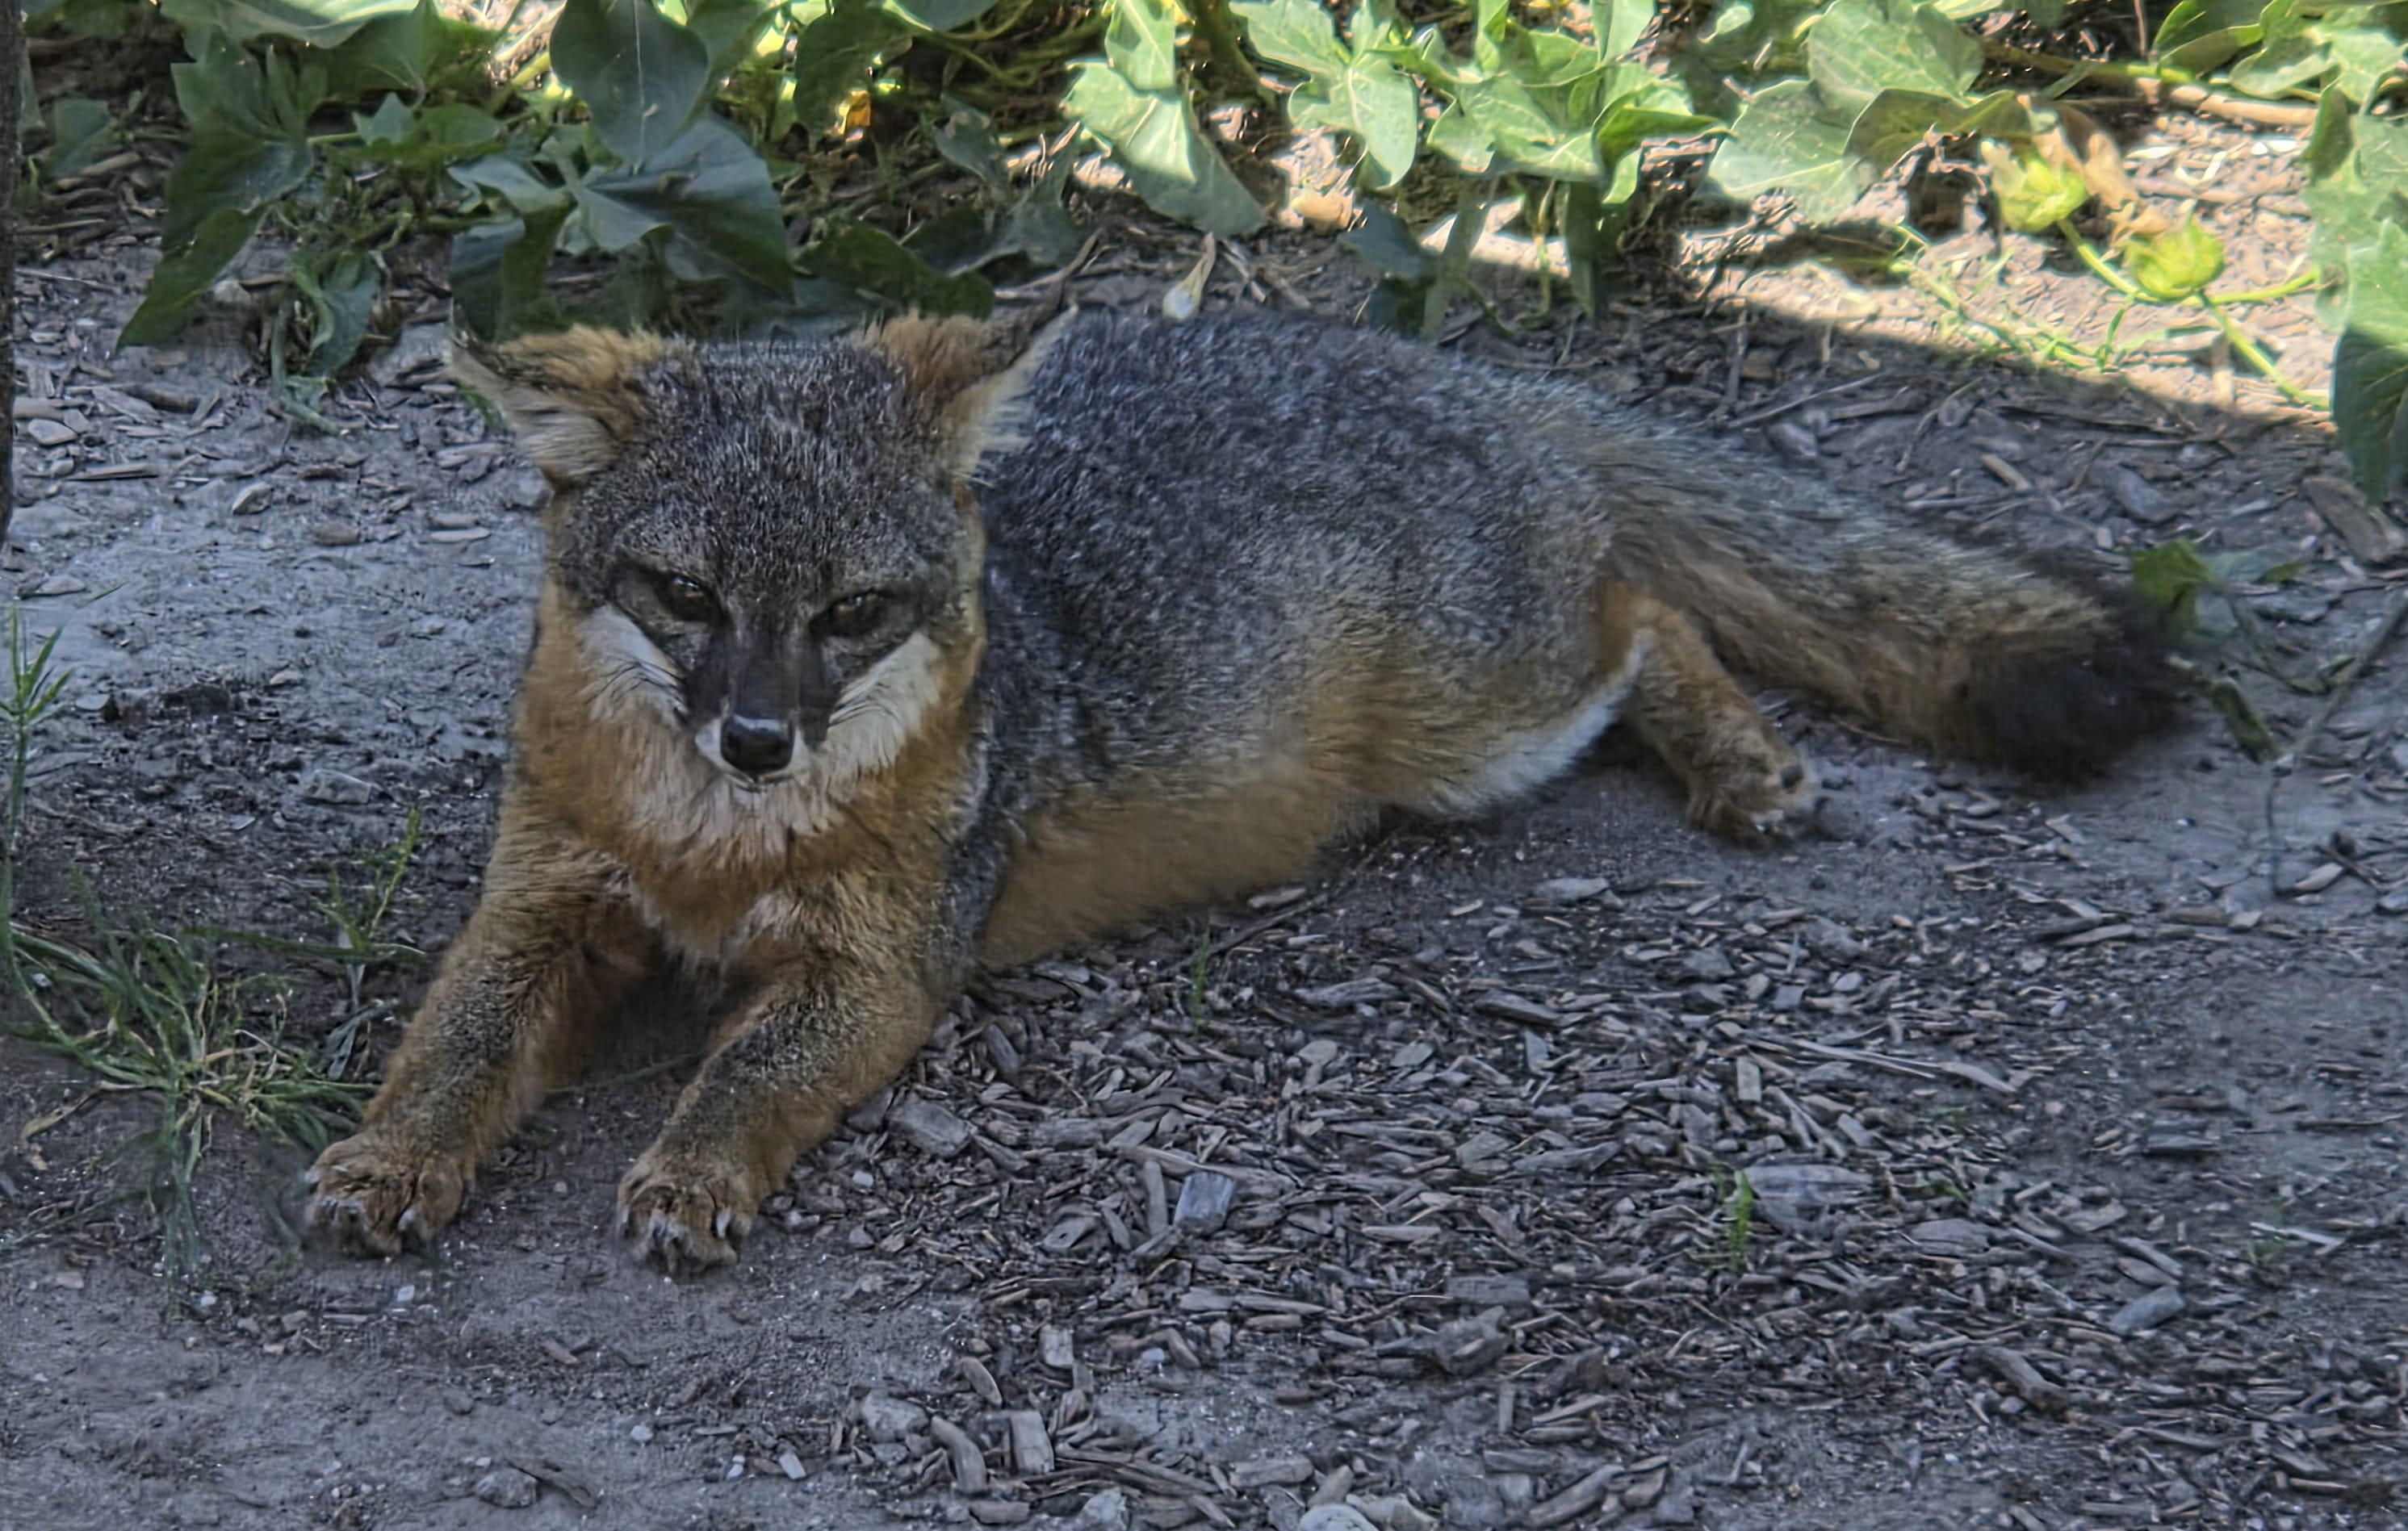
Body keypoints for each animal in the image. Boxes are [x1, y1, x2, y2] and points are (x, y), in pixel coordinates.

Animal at [304, 305, 2176, 1272]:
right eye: (684, 597)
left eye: (851, 614)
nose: (759, 739)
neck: (705, 847)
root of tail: (1436, 359)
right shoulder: (545, 904)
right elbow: (451, 1046)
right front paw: (394, 1155)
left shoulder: (885, 967)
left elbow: (747, 1068)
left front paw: (693, 1170)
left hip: (1481, 730)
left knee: (1651, 609)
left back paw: (1745, 756)